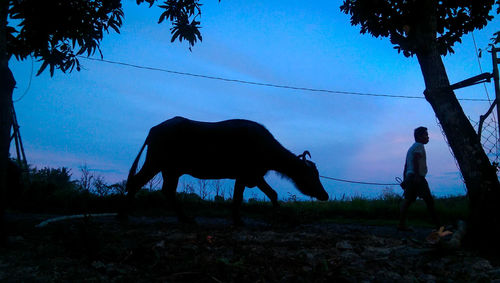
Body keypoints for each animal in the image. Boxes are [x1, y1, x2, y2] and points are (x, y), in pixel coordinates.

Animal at [125, 116, 328, 225]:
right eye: (311, 175)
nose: (325, 195)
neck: (264, 147)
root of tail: (154, 130)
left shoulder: (254, 176)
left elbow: (272, 194)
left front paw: (282, 216)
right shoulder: (245, 176)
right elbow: (239, 198)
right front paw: (238, 221)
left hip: (170, 171)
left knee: (166, 191)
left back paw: (185, 219)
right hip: (155, 163)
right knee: (136, 183)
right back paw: (124, 214)